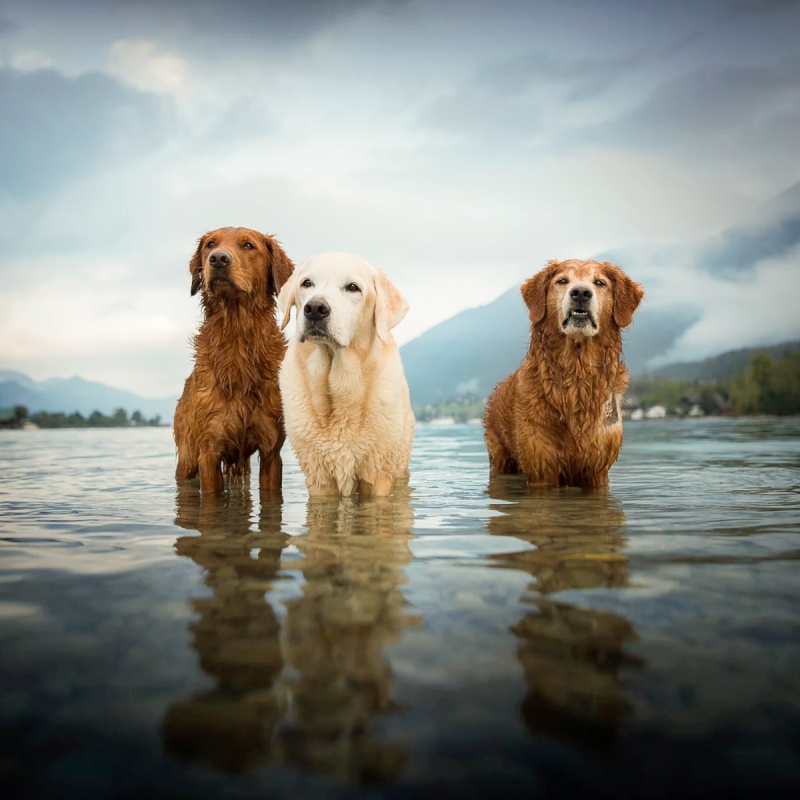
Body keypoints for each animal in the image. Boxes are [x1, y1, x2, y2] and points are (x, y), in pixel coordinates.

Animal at [172, 225, 294, 494]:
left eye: (248, 245)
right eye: (210, 244)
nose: (218, 259)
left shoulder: (271, 450)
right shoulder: (209, 450)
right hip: (187, 456)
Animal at [482, 260, 644, 490]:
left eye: (599, 282)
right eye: (562, 281)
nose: (581, 293)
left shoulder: (598, 469)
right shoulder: (541, 466)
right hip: (500, 456)